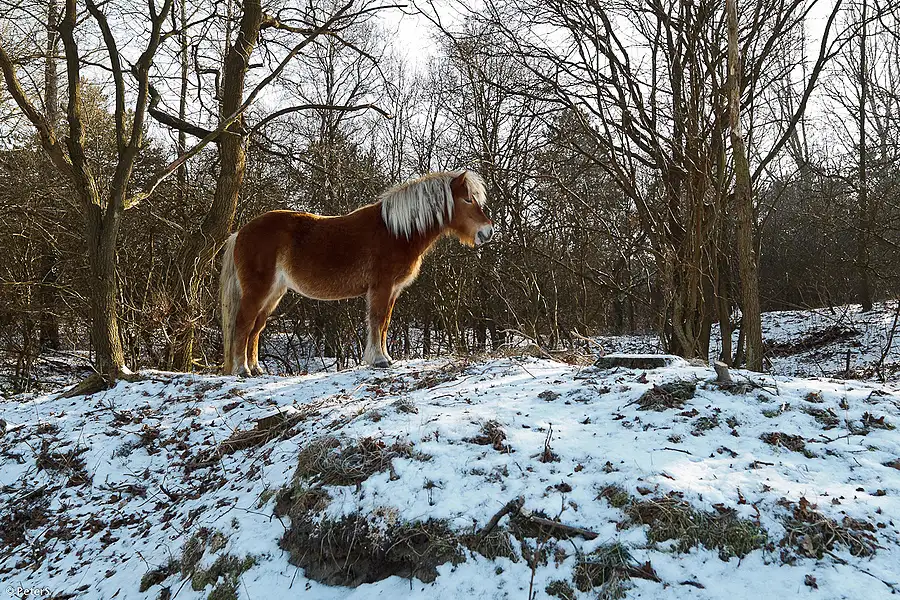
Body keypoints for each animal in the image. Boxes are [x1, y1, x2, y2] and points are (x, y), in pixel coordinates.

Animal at [220, 170, 493, 376]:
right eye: (468, 199)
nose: (487, 232)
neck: (395, 232)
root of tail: (240, 233)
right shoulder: (381, 287)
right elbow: (377, 320)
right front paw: (379, 360)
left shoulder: (393, 291)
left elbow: (385, 324)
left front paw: (385, 357)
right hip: (258, 291)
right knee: (243, 324)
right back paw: (243, 370)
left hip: (274, 294)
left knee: (256, 328)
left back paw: (256, 369)